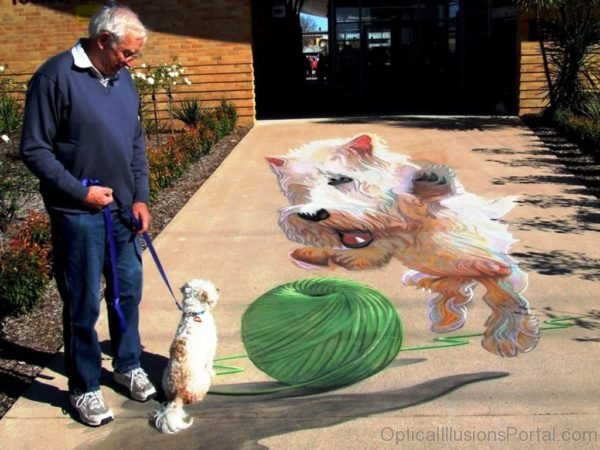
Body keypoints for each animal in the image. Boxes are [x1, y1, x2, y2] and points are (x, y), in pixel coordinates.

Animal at [154, 280, 219, 434]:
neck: (194, 313)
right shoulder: (211, 350)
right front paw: (213, 372)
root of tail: (179, 392)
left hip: (165, 378)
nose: (218, 289)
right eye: (212, 287)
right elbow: (210, 364)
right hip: (202, 381)